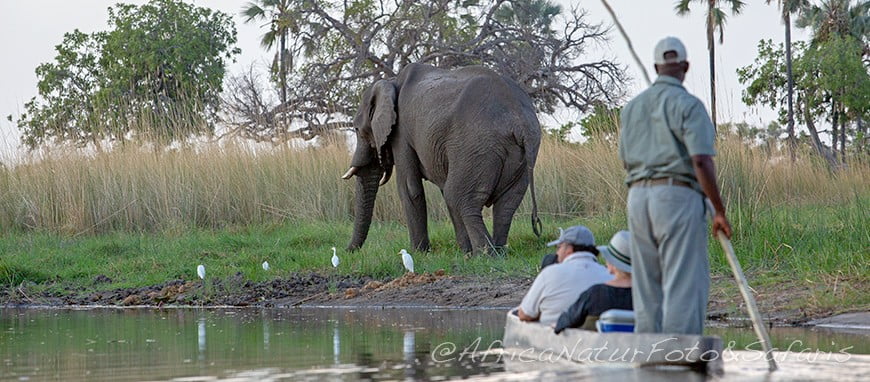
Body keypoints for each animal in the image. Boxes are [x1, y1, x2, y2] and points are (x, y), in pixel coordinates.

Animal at [342, 62, 540, 254]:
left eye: (358, 130)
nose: (347, 251)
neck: (391, 81)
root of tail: (519, 122)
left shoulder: (401, 133)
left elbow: (409, 188)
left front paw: (419, 254)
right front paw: (464, 252)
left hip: (477, 145)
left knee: (460, 197)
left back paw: (485, 256)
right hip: (518, 156)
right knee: (506, 204)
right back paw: (496, 253)